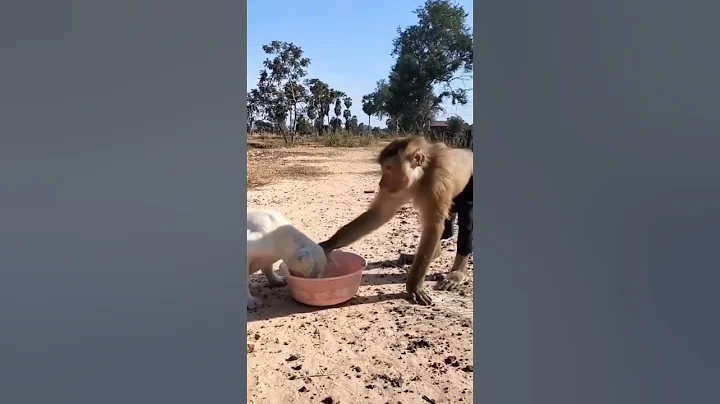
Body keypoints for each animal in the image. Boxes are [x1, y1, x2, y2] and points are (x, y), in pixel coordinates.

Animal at [319, 136, 473, 305]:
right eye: (384, 168)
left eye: (388, 168)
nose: (381, 183)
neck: (421, 175)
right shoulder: (398, 188)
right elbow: (379, 215)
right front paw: (327, 245)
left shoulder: (436, 182)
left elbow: (434, 226)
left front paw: (414, 286)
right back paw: (433, 254)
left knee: (465, 219)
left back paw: (456, 273)